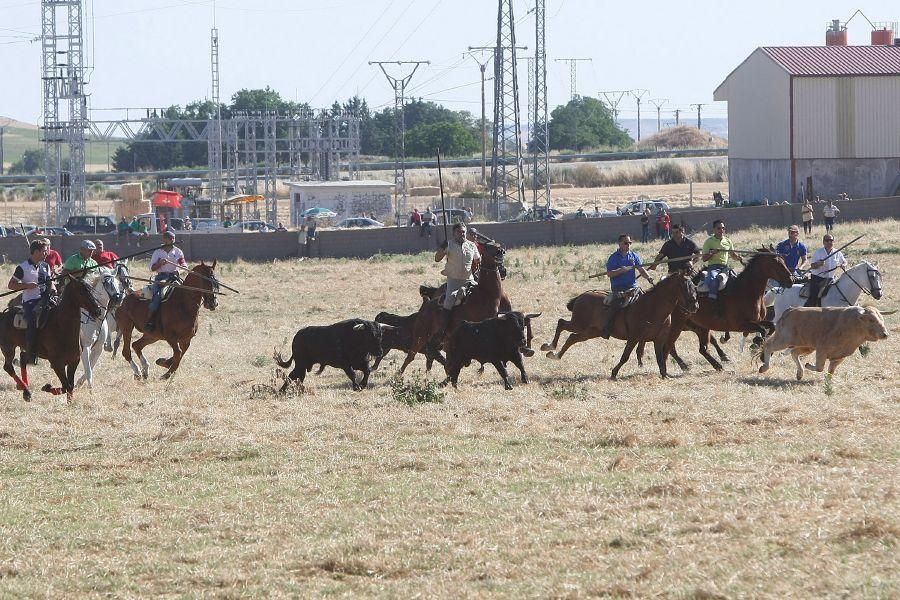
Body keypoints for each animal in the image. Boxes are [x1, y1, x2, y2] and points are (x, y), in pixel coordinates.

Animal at [0, 276, 103, 404]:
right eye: (81, 291)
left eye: (90, 290)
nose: (98, 310)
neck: (61, 327)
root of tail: (2, 316)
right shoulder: (56, 363)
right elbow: (66, 386)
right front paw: (47, 387)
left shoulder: (73, 361)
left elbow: (70, 386)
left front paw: (70, 403)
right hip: (8, 348)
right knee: (8, 367)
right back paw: (26, 391)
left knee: (22, 359)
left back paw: (25, 391)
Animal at [400, 240, 506, 372]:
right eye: (488, 247)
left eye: (497, 245)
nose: (501, 251)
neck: (485, 295)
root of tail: (426, 305)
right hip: (422, 334)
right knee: (412, 355)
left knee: (432, 353)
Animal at [536, 274, 700, 380]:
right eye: (684, 286)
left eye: (694, 285)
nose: (695, 306)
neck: (652, 307)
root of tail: (582, 296)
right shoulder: (634, 338)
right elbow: (625, 356)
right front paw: (614, 373)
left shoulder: (658, 340)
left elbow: (660, 358)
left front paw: (665, 375)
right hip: (579, 324)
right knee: (561, 323)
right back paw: (549, 346)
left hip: (590, 332)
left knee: (572, 338)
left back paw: (556, 355)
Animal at [660, 247, 796, 370]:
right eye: (776, 263)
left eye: (783, 260)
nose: (791, 280)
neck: (747, 291)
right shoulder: (741, 325)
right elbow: (762, 331)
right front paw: (760, 349)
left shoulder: (757, 321)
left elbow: (771, 327)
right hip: (681, 325)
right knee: (673, 346)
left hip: (698, 327)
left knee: (700, 349)